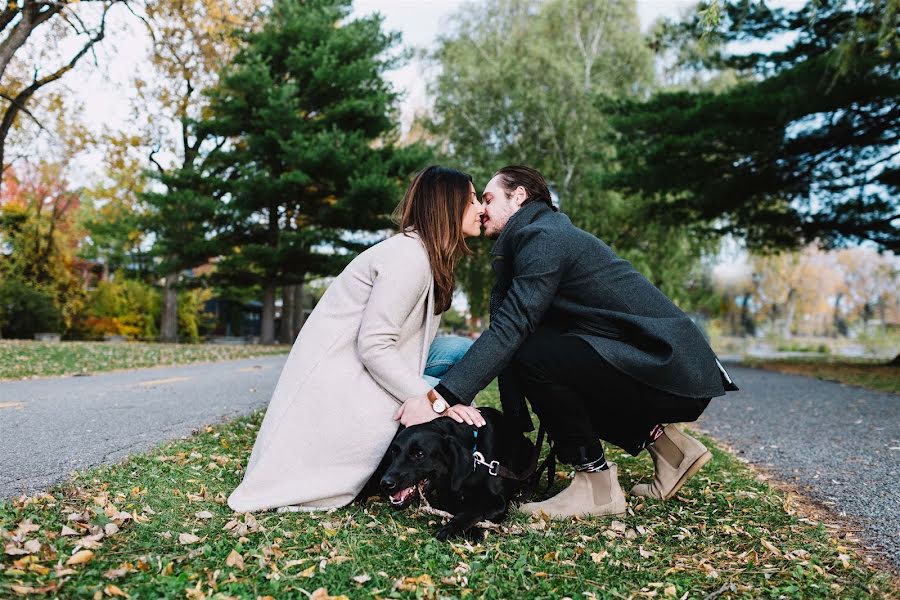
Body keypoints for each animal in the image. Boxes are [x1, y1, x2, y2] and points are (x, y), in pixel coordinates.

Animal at [374, 408, 532, 540]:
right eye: (394, 451)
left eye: (419, 454)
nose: (385, 483)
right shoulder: (447, 496)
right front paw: (471, 530)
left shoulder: (500, 501)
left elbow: (475, 509)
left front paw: (451, 529)